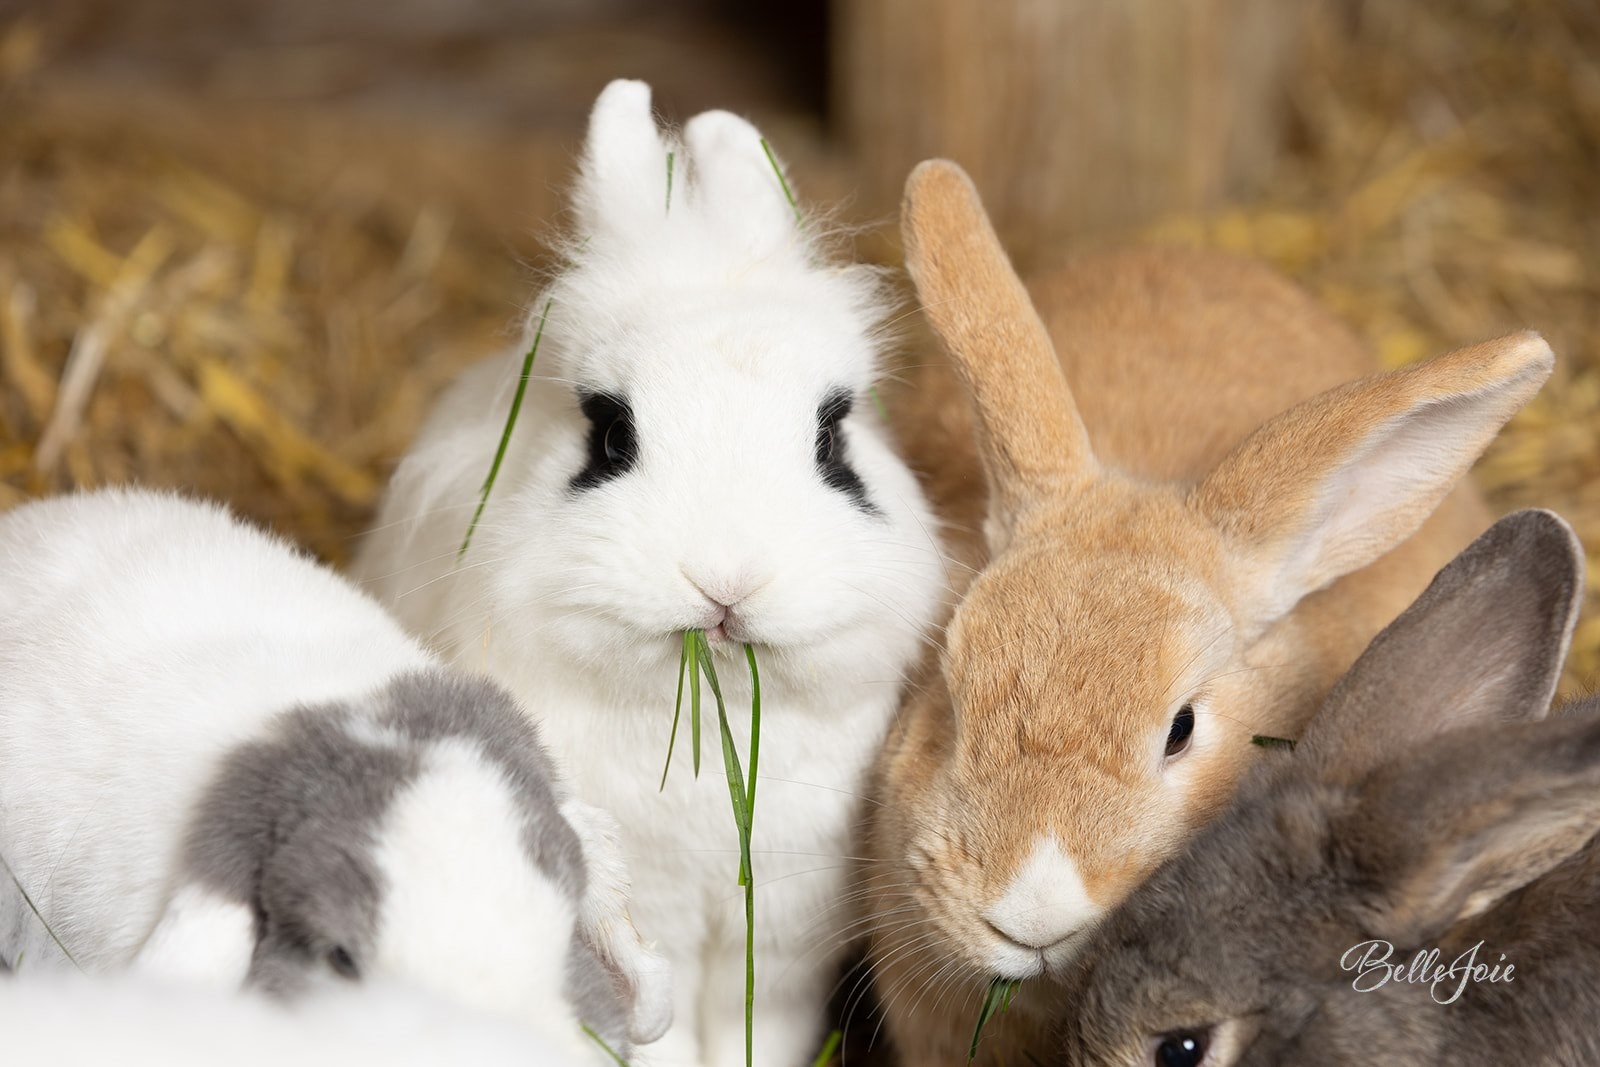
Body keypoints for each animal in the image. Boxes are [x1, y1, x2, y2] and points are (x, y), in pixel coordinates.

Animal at [352, 80, 947, 1066]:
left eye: (833, 437)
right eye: (610, 433)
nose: (726, 579)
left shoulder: (778, 943)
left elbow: (759, 1031)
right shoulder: (651, 919)